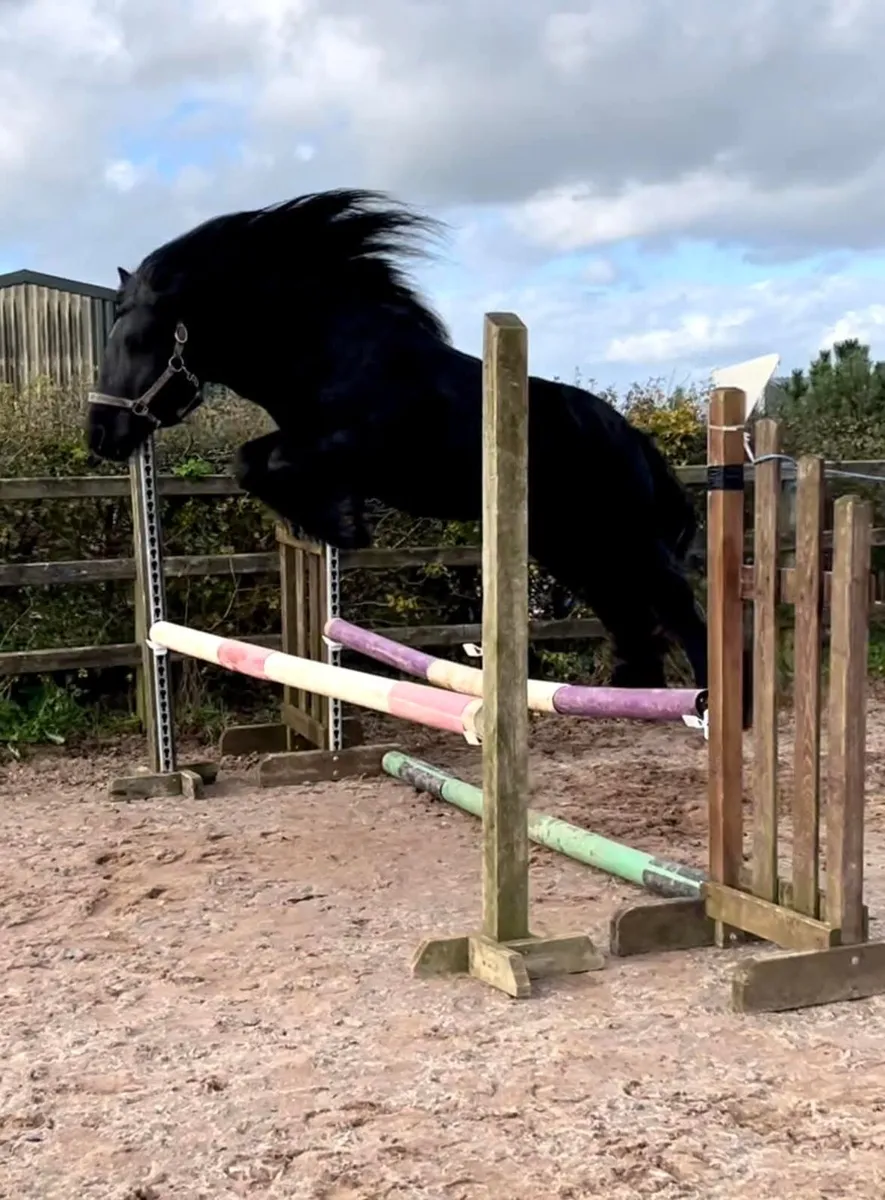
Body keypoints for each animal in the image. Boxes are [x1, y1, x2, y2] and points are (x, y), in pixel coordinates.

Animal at [86, 187, 744, 713]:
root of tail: (632, 439)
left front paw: (343, 524)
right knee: (629, 615)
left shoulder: (358, 446)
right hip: (572, 545)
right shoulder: (304, 437)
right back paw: (624, 690)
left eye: (139, 339)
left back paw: (718, 707)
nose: (100, 434)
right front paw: (332, 521)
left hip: (624, 538)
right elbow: (250, 461)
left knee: (679, 607)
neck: (334, 351)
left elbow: (265, 463)